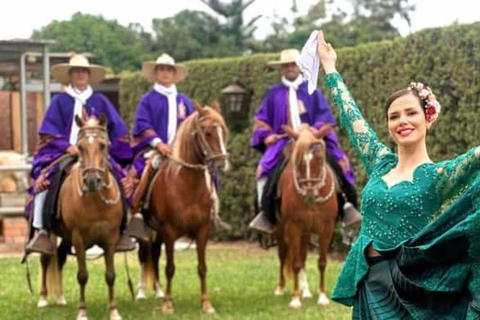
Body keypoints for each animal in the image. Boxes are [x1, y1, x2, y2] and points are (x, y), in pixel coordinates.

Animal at [38, 115, 124, 320]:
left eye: (103, 145)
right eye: (81, 146)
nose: (92, 180)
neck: (96, 202)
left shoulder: (111, 239)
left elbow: (111, 275)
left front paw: (114, 311)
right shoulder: (79, 239)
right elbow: (82, 275)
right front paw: (82, 312)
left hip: (66, 237)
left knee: (60, 257)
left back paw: (60, 298)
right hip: (52, 234)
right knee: (45, 259)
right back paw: (43, 299)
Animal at [138, 103, 230, 316]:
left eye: (223, 130)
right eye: (207, 132)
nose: (222, 163)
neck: (188, 186)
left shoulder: (202, 231)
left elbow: (202, 267)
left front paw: (206, 303)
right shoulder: (170, 231)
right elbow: (170, 268)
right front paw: (168, 304)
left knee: (154, 253)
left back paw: (158, 291)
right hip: (148, 232)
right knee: (145, 255)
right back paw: (144, 292)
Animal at [276, 122, 340, 308]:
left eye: (319, 158)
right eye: (298, 161)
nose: (310, 191)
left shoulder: (327, 228)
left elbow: (322, 262)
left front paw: (322, 297)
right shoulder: (293, 228)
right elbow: (295, 264)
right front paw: (295, 299)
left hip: (306, 233)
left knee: (303, 255)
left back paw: (306, 292)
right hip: (281, 229)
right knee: (283, 254)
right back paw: (281, 288)